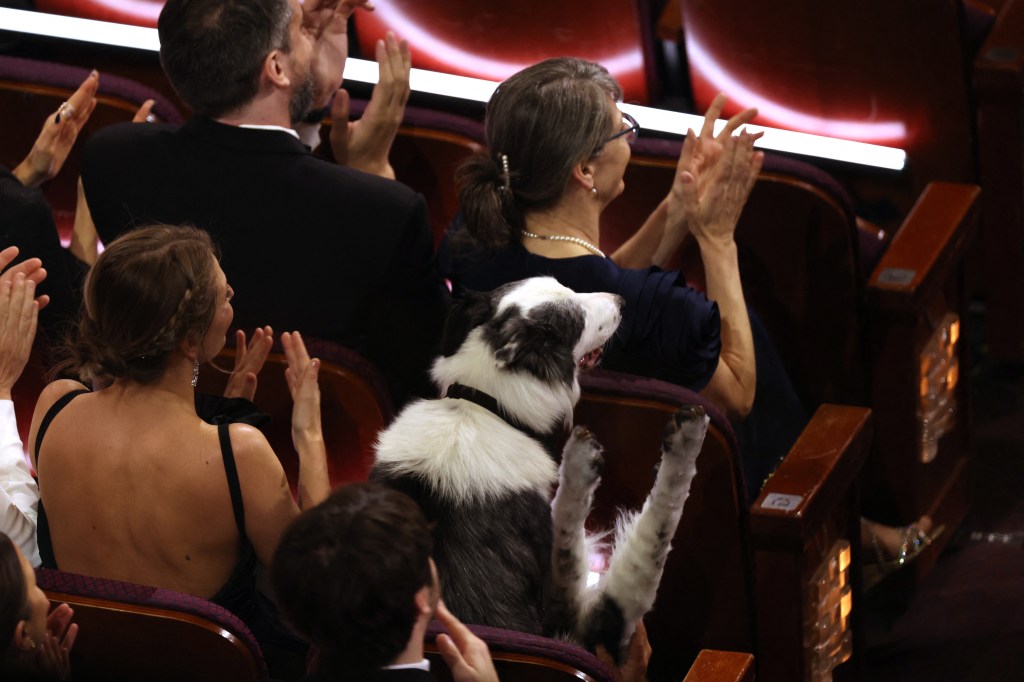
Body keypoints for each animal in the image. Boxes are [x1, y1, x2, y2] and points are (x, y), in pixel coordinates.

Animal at [372, 274, 708, 655]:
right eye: (577, 319)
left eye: (563, 284)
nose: (622, 301)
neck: (484, 406)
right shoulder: (563, 600)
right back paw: (682, 439)